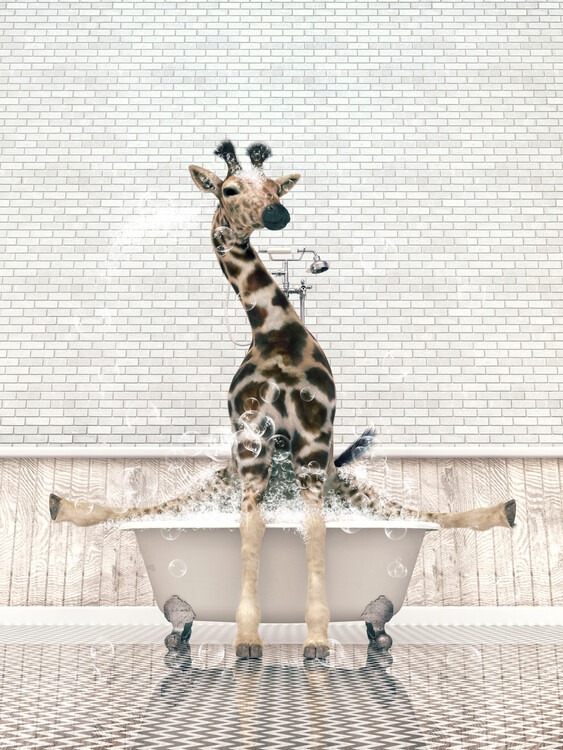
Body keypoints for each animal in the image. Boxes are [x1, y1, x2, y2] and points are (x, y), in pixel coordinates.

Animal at [49, 140, 517, 660]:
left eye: (275, 186)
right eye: (229, 189)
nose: (277, 214)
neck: (275, 338)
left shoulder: (313, 441)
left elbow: (314, 529)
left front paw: (316, 639)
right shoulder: (252, 441)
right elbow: (251, 529)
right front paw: (247, 638)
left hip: (344, 482)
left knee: (422, 513)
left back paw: (505, 510)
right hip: (225, 476)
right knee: (143, 510)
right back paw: (58, 504)